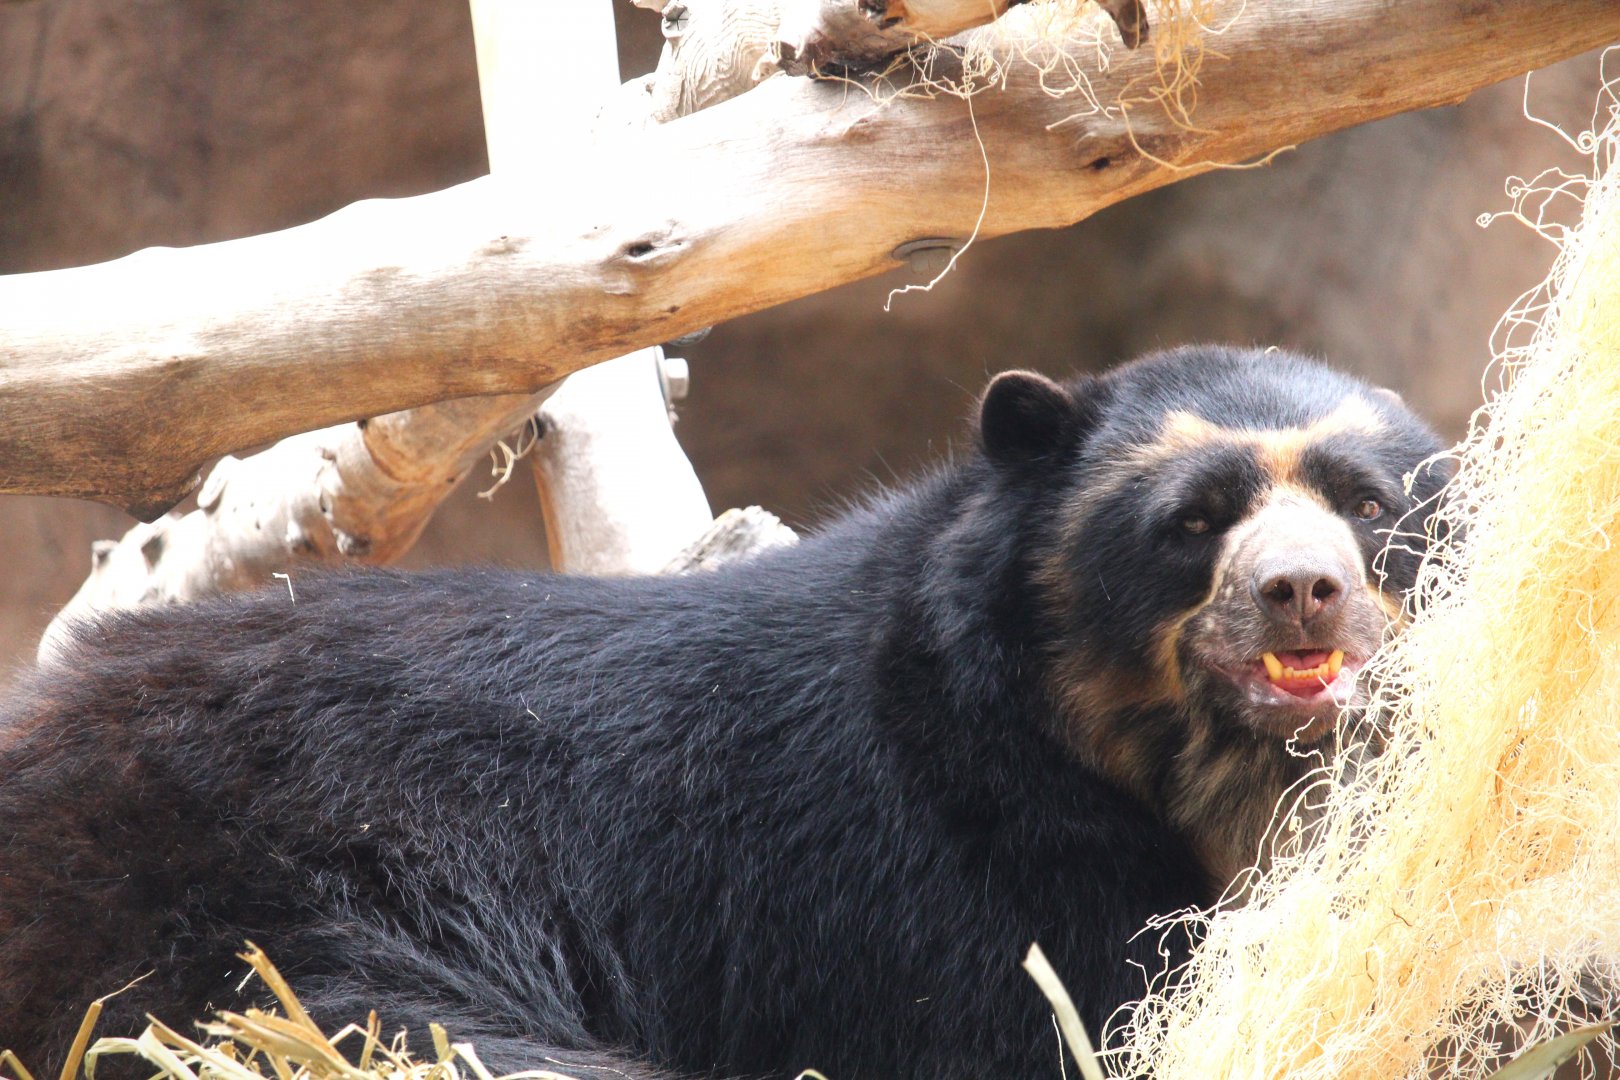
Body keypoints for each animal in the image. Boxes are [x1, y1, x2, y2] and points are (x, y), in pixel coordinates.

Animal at [0, 346, 1451, 1080]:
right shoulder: (942, 877)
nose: (1301, 594)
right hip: (234, 890)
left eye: (1369, 505)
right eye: (1193, 522)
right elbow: (1041, 1016)